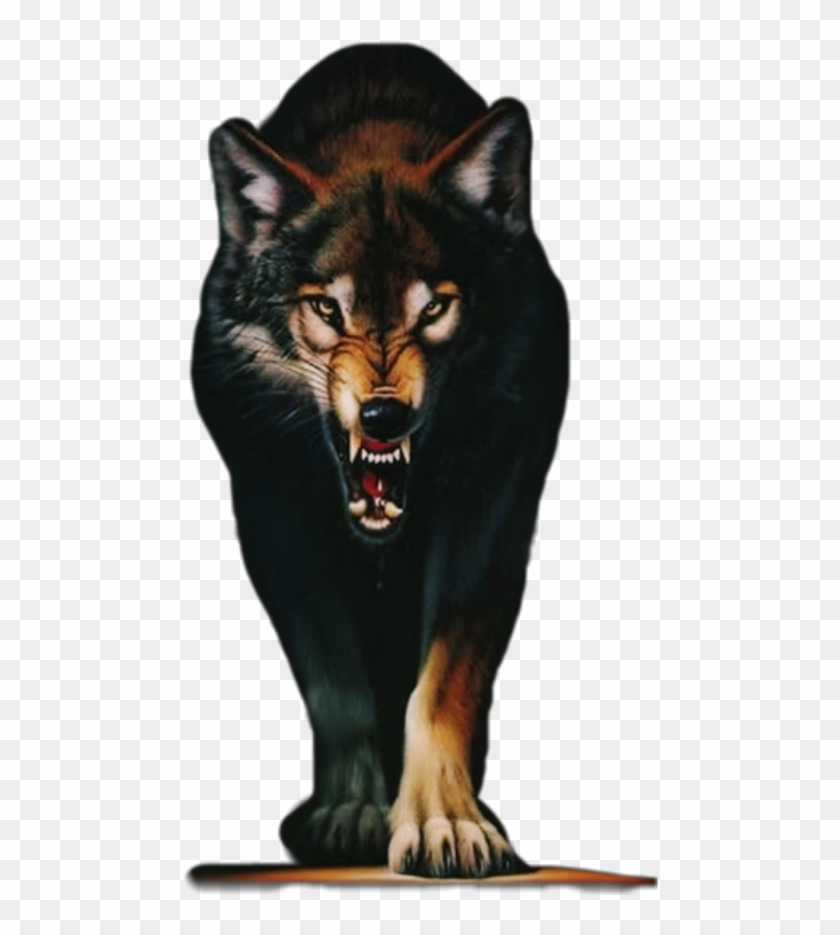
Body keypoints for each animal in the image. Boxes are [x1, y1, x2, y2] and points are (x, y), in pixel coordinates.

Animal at [192, 44, 569, 877]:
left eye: (435, 307)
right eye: (327, 309)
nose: (383, 415)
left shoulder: (493, 512)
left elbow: (444, 684)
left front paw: (446, 822)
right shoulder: (271, 511)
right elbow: (338, 684)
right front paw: (356, 812)